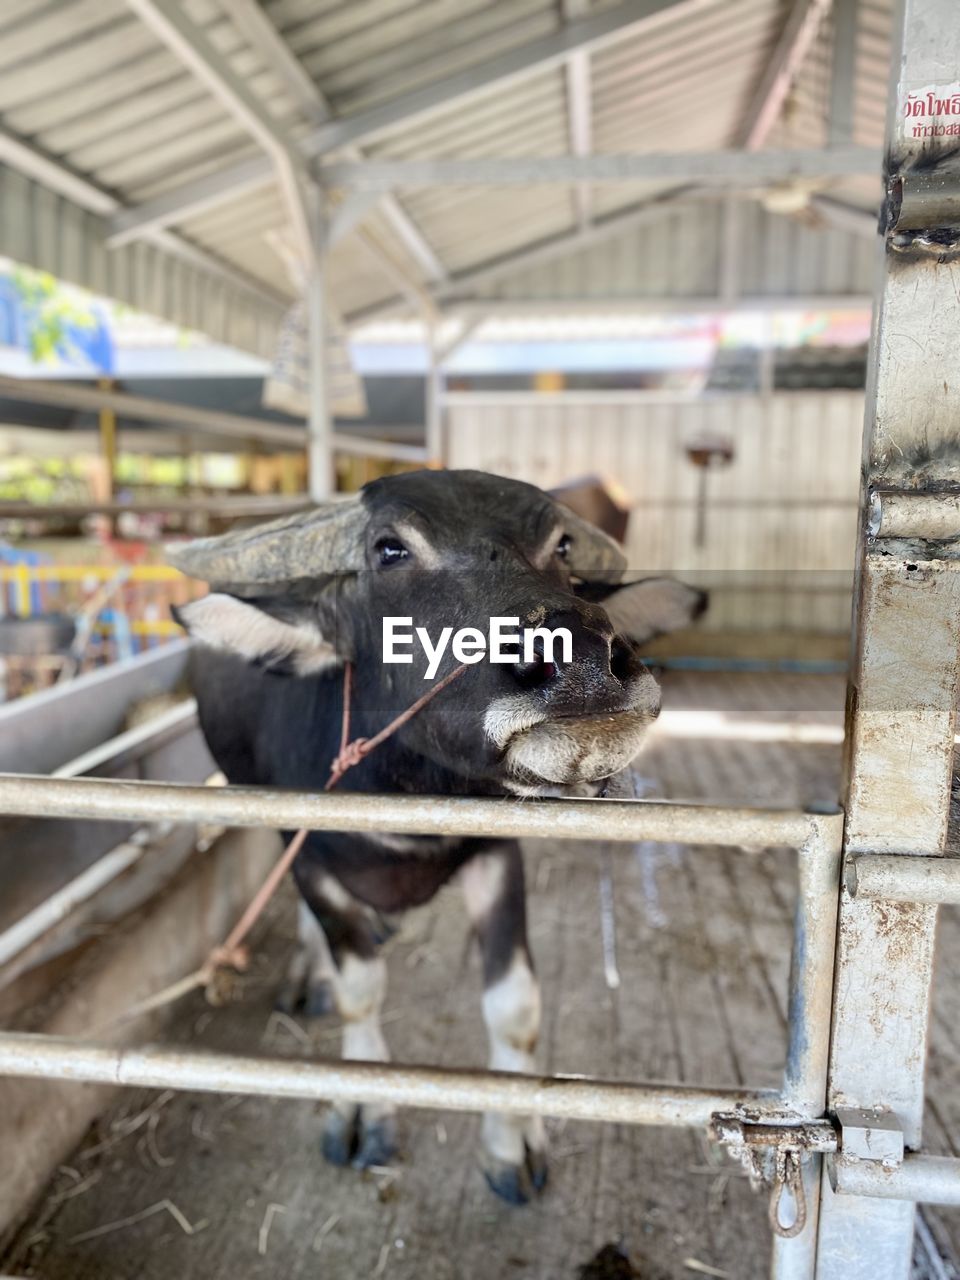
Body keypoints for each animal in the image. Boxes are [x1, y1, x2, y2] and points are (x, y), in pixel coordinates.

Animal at [168, 468, 701, 1198]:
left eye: (562, 546)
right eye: (390, 550)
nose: (585, 662)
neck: (404, 799)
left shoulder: (496, 855)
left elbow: (514, 1003)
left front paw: (512, 1138)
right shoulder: (309, 859)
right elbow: (360, 992)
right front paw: (364, 1109)